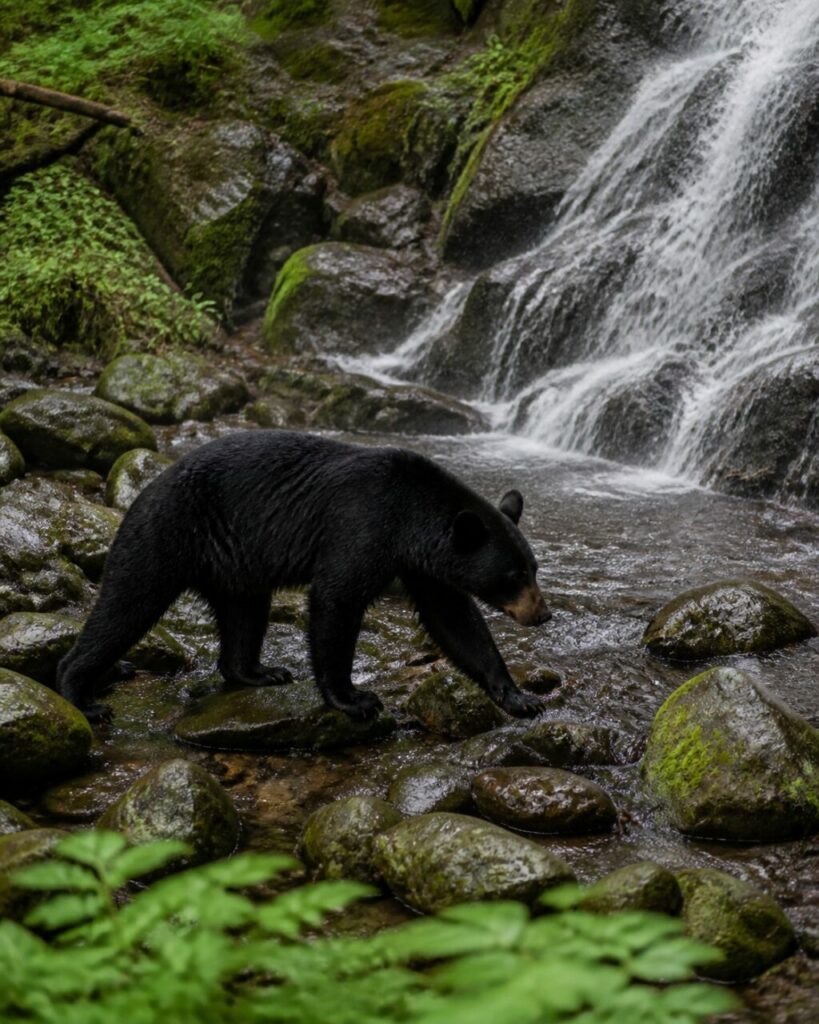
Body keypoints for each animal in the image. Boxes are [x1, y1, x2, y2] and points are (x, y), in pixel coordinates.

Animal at [56, 430, 552, 722]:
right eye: (512, 575)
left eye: (534, 567)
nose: (542, 614)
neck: (409, 516)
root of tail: (142, 491)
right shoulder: (362, 525)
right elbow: (337, 599)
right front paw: (353, 698)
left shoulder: (421, 565)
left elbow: (455, 620)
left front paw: (517, 696)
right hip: (163, 535)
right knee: (125, 605)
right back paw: (80, 693)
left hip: (235, 565)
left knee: (245, 614)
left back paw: (257, 672)